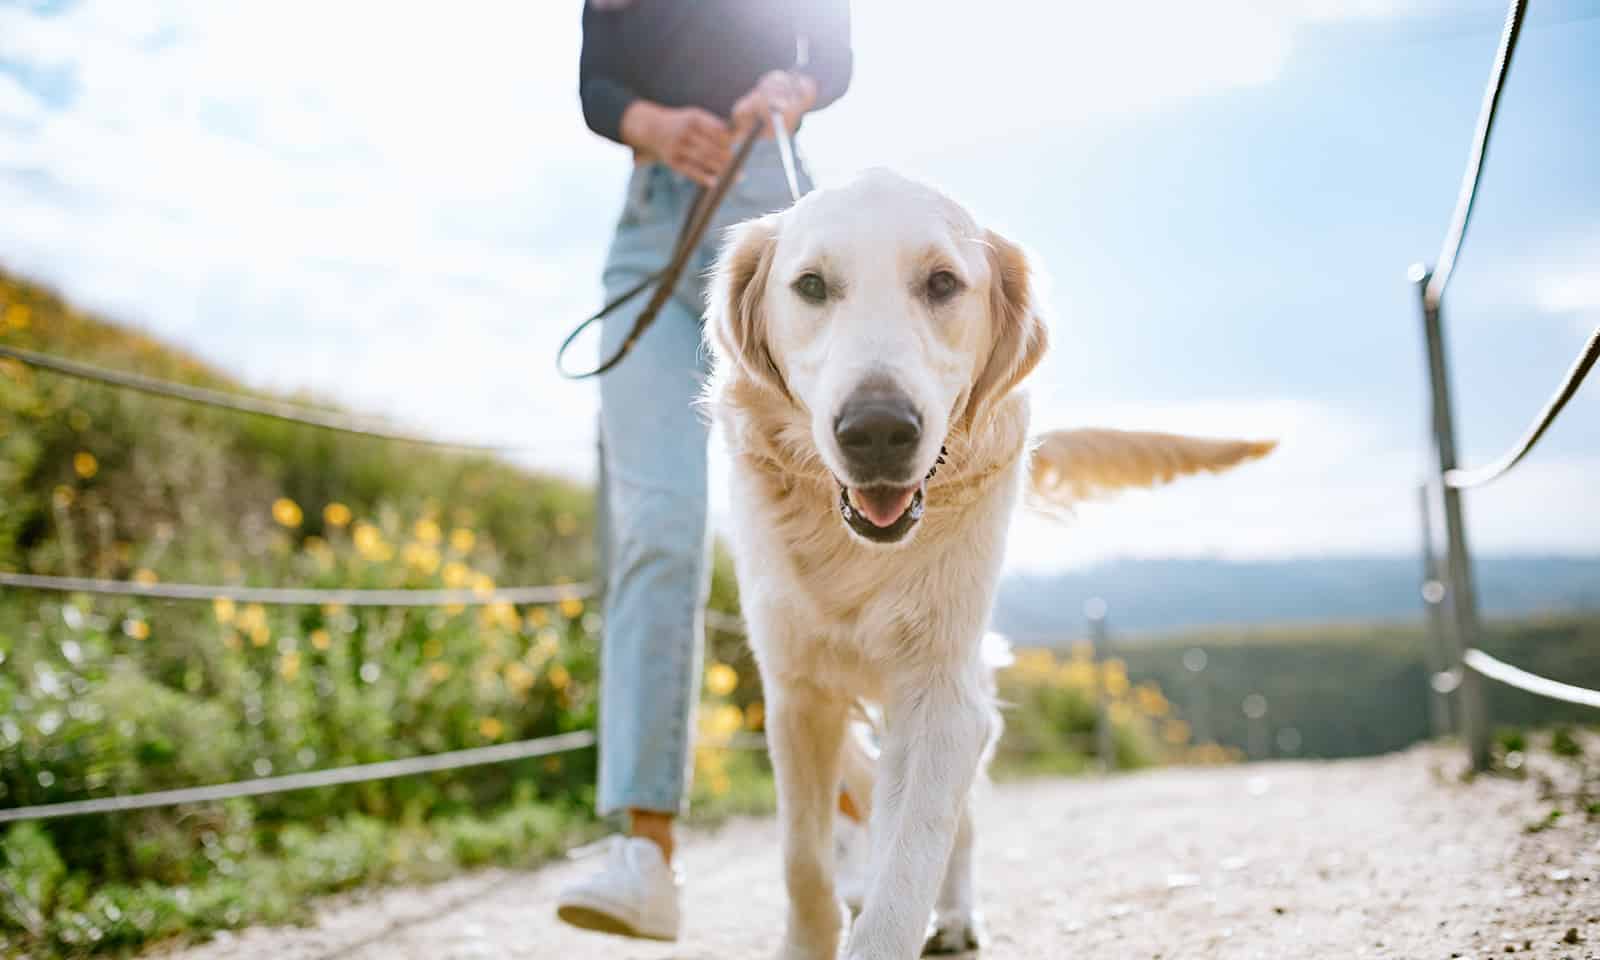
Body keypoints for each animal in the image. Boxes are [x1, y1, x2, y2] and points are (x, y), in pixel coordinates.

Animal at [700, 168, 1273, 953]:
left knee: (954, 817)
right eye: (811, 285)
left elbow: (912, 855)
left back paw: (955, 915)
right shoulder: (795, 689)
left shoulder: (942, 690)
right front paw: (812, 937)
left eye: (942, 282)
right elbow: (803, 862)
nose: (877, 431)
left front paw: (892, 923)